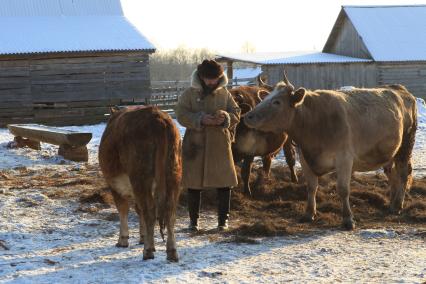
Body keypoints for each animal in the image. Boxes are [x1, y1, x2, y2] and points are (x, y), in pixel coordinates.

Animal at [99, 106, 181, 262]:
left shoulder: (115, 185)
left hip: (140, 178)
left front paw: (123, 239)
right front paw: (144, 237)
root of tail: (158, 117)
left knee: (150, 211)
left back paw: (148, 251)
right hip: (173, 175)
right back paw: (171, 251)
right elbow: (138, 210)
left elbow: (123, 210)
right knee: (169, 211)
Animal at [245, 72, 418, 230]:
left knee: (403, 173)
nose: (248, 116)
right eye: (264, 99)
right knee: (392, 174)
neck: (315, 121)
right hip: (390, 153)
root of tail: (400, 89)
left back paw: (398, 205)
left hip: (405, 146)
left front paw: (348, 219)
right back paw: (392, 203)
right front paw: (309, 213)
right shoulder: (305, 159)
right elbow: (311, 187)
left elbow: (343, 189)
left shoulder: (344, 159)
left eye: (277, 102)